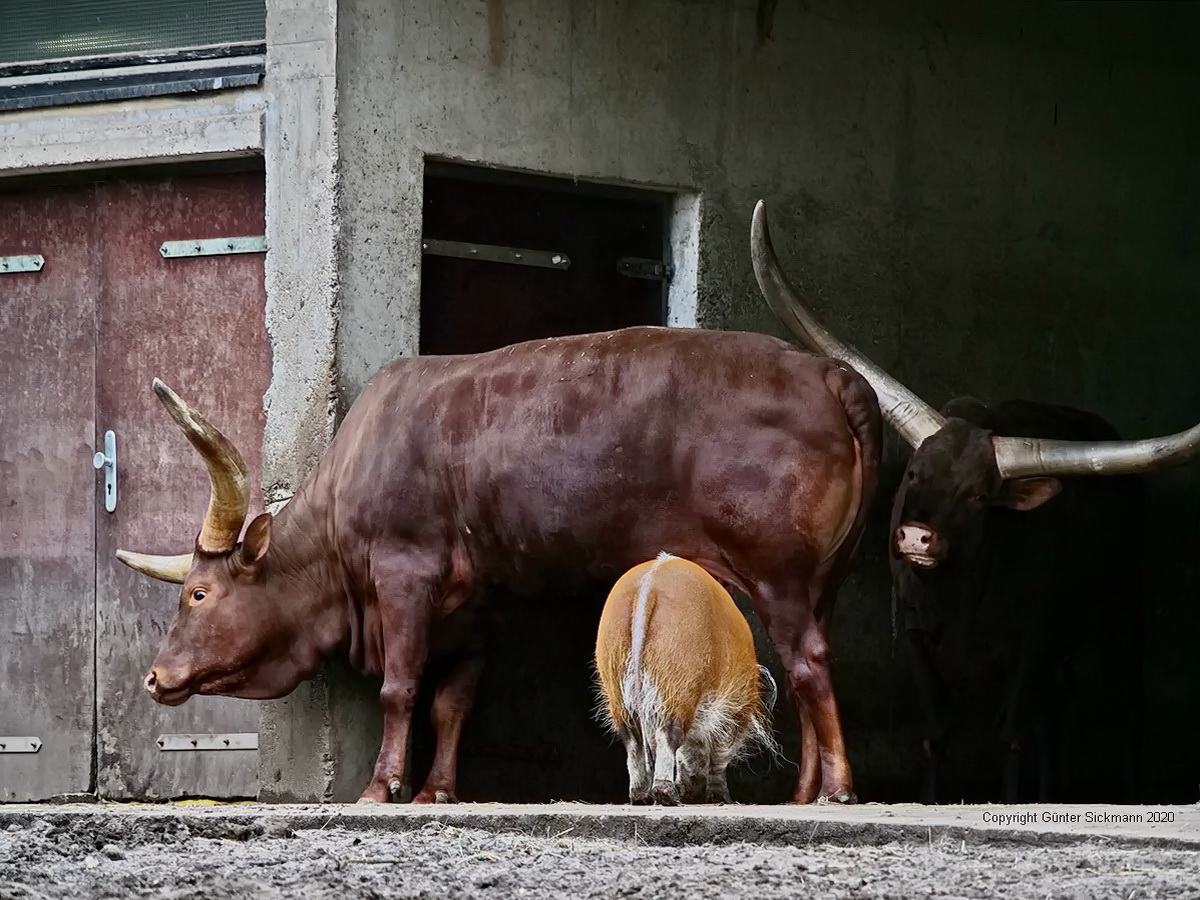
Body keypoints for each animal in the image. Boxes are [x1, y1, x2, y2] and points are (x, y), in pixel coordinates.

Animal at [595, 554, 782, 806]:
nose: (692, 792)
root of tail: (649, 584)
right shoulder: (730, 709)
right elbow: (720, 751)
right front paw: (721, 797)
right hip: (677, 679)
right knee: (668, 733)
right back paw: (668, 794)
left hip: (614, 677)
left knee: (632, 739)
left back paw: (641, 796)